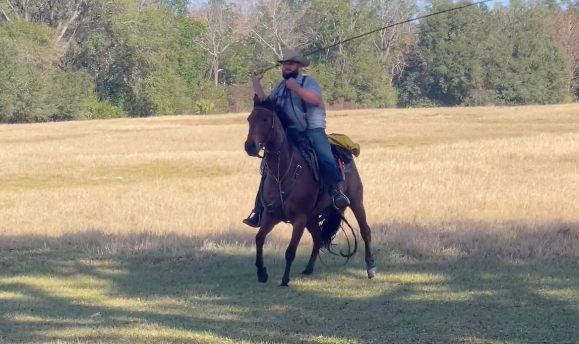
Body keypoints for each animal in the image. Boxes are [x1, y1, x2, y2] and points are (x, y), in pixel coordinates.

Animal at [244, 95, 376, 286]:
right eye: (249, 119)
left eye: (265, 119)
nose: (250, 146)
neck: (283, 172)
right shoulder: (270, 214)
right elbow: (259, 238)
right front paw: (262, 273)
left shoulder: (299, 218)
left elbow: (290, 250)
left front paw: (285, 280)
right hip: (312, 217)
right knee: (318, 237)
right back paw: (308, 268)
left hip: (356, 201)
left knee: (365, 230)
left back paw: (371, 267)